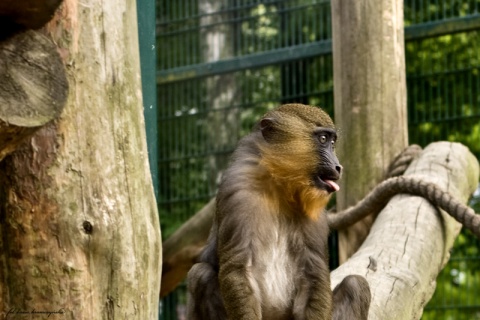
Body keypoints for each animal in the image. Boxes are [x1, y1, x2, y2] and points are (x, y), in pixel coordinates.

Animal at [186, 104, 370, 318]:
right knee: (200, 274)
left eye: (333, 142)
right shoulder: (237, 192)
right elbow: (238, 268)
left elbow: (314, 274)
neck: (279, 187)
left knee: (356, 284)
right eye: (323, 139)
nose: (338, 166)